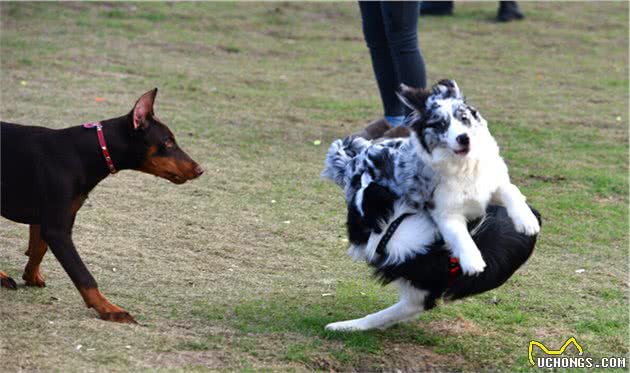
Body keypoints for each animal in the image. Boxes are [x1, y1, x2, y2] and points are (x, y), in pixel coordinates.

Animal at [0, 89, 202, 322]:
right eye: (168, 142)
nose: (200, 170)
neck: (83, 153)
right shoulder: (57, 229)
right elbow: (84, 276)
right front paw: (110, 309)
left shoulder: (53, 218)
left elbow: (39, 247)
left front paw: (31, 276)